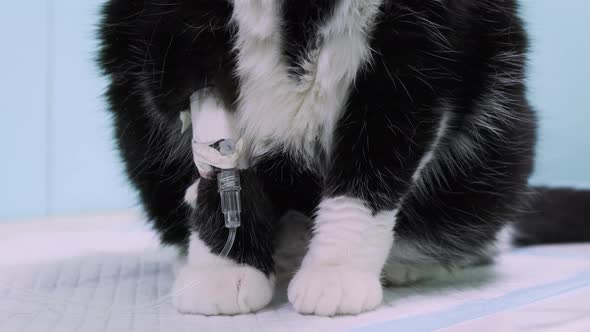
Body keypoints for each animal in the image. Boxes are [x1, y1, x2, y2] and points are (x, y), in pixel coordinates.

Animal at [98, 0, 590, 316]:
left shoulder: (417, 54)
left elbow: (371, 169)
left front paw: (335, 272)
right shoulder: (167, 32)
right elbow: (216, 156)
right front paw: (223, 268)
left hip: (502, 148)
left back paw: (400, 264)